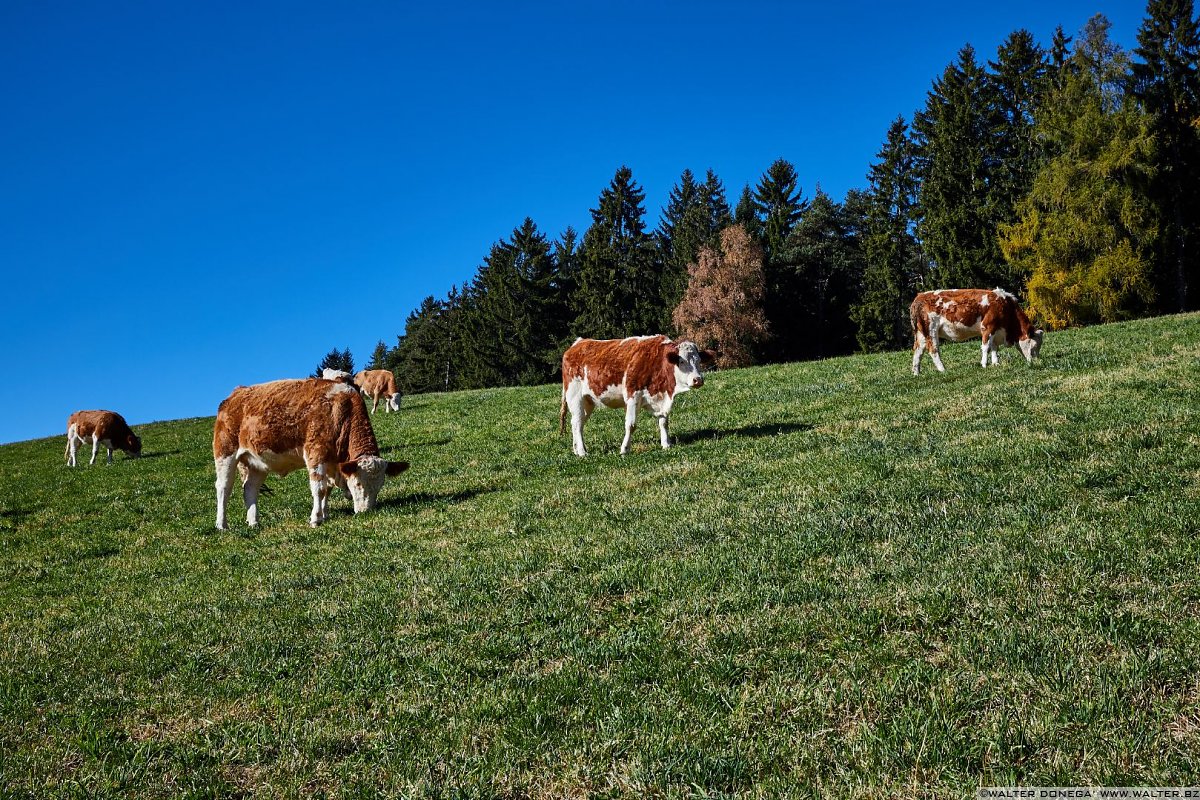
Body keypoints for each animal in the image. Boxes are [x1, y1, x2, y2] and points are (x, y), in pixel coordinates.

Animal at [211, 379, 408, 527]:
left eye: (380, 485)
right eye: (358, 483)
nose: (366, 512)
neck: (341, 410)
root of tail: (235, 394)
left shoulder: (331, 461)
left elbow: (327, 488)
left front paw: (325, 514)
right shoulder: (316, 452)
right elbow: (319, 488)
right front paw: (315, 519)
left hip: (257, 463)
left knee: (250, 489)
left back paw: (254, 523)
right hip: (225, 453)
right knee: (223, 487)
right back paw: (222, 524)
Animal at [559, 333, 715, 455]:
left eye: (699, 360)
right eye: (681, 361)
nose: (698, 379)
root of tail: (578, 343)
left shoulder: (661, 400)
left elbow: (664, 421)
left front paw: (666, 444)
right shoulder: (632, 395)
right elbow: (631, 424)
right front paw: (625, 449)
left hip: (588, 401)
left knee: (578, 423)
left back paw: (577, 449)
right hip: (574, 396)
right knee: (577, 422)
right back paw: (582, 452)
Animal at [907, 287, 1041, 376]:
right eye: (1034, 346)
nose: (1036, 362)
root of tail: (919, 297)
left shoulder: (996, 330)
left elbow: (994, 348)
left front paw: (995, 363)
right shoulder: (988, 326)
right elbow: (986, 347)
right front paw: (984, 364)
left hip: (921, 332)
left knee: (918, 350)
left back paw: (916, 372)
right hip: (931, 329)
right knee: (933, 349)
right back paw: (942, 369)